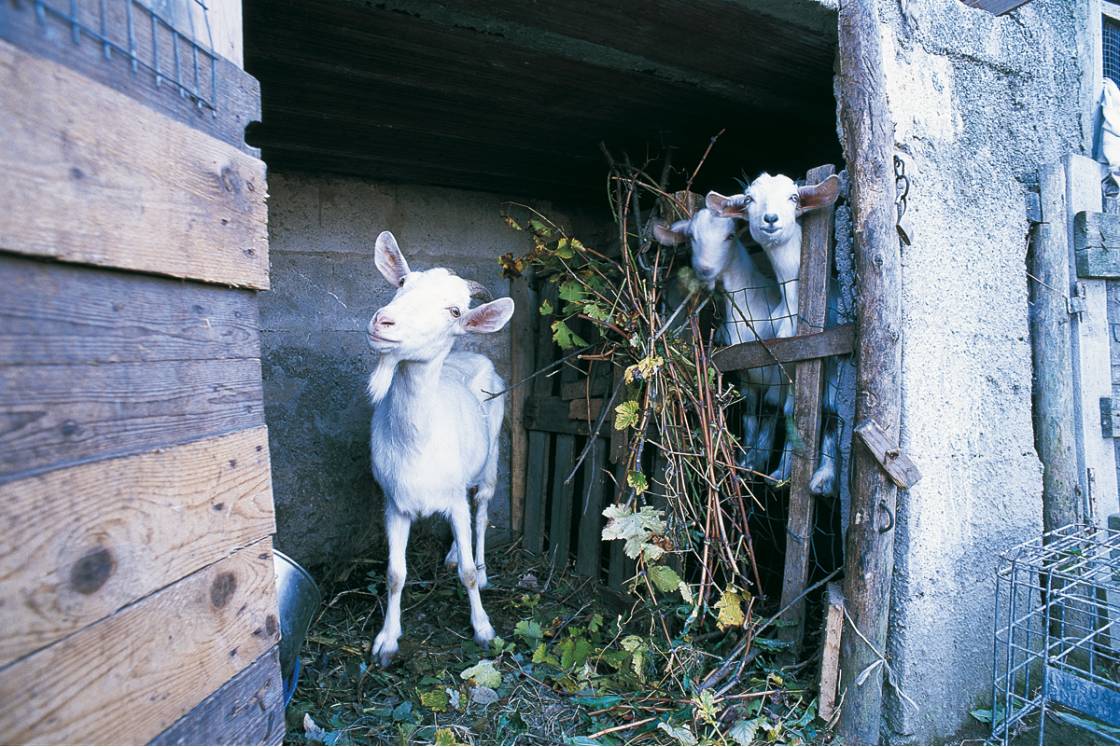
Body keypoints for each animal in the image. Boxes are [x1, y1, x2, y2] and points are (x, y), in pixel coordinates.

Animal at [365, 231, 512, 667]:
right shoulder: (394, 503)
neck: (417, 441)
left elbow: (467, 572)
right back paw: (451, 554)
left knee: (480, 511)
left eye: (455, 310)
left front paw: (483, 629)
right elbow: (395, 574)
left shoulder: (455, 496)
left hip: (492, 459)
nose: (383, 322)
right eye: (402, 284)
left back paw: (480, 563)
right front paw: (387, 641)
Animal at [707, 173, 842, 492]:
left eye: (793, 197)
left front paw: (814, 476)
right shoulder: (768, 363)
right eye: (748, 199)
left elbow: (815, 410)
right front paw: (756, 464)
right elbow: (766, 411)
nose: (770, 219)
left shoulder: (821, 358)